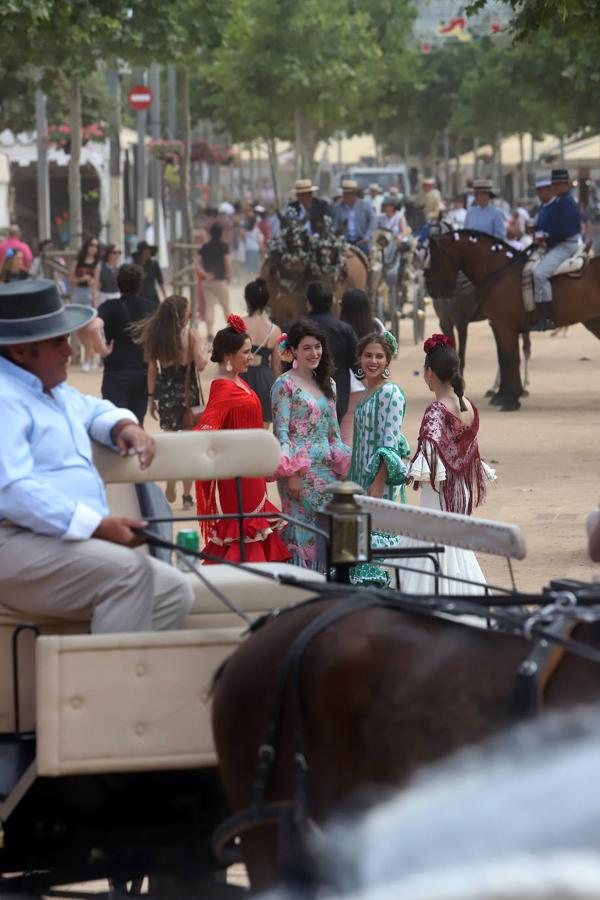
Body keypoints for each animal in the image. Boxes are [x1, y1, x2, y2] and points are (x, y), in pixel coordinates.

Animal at [424, 232, 600, 414]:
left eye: (433, 257)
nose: (431, 289)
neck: (499, 272)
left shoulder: (502, 326)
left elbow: (508, 358)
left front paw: (509, 399)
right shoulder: (496, 325)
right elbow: (504, 357)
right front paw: (504, 395)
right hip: (593, 321)